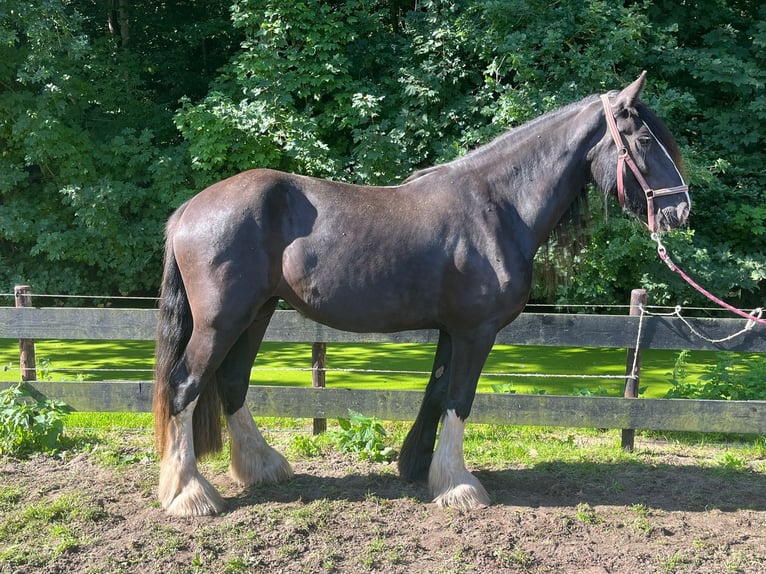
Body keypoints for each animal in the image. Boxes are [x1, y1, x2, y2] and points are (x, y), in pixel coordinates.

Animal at [153, 72, 690, 516]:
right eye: (645, 139)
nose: (681, 211)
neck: (498, 205)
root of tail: (188, 211)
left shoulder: (453, 330)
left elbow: (436, 392)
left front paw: (418, 467)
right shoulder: (476, 331)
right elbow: (460, 397)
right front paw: (459, 486)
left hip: (257, 313)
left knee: (232, 383)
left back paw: (262, 466)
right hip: (222, 321)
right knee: (184, 387)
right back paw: (190, 495)